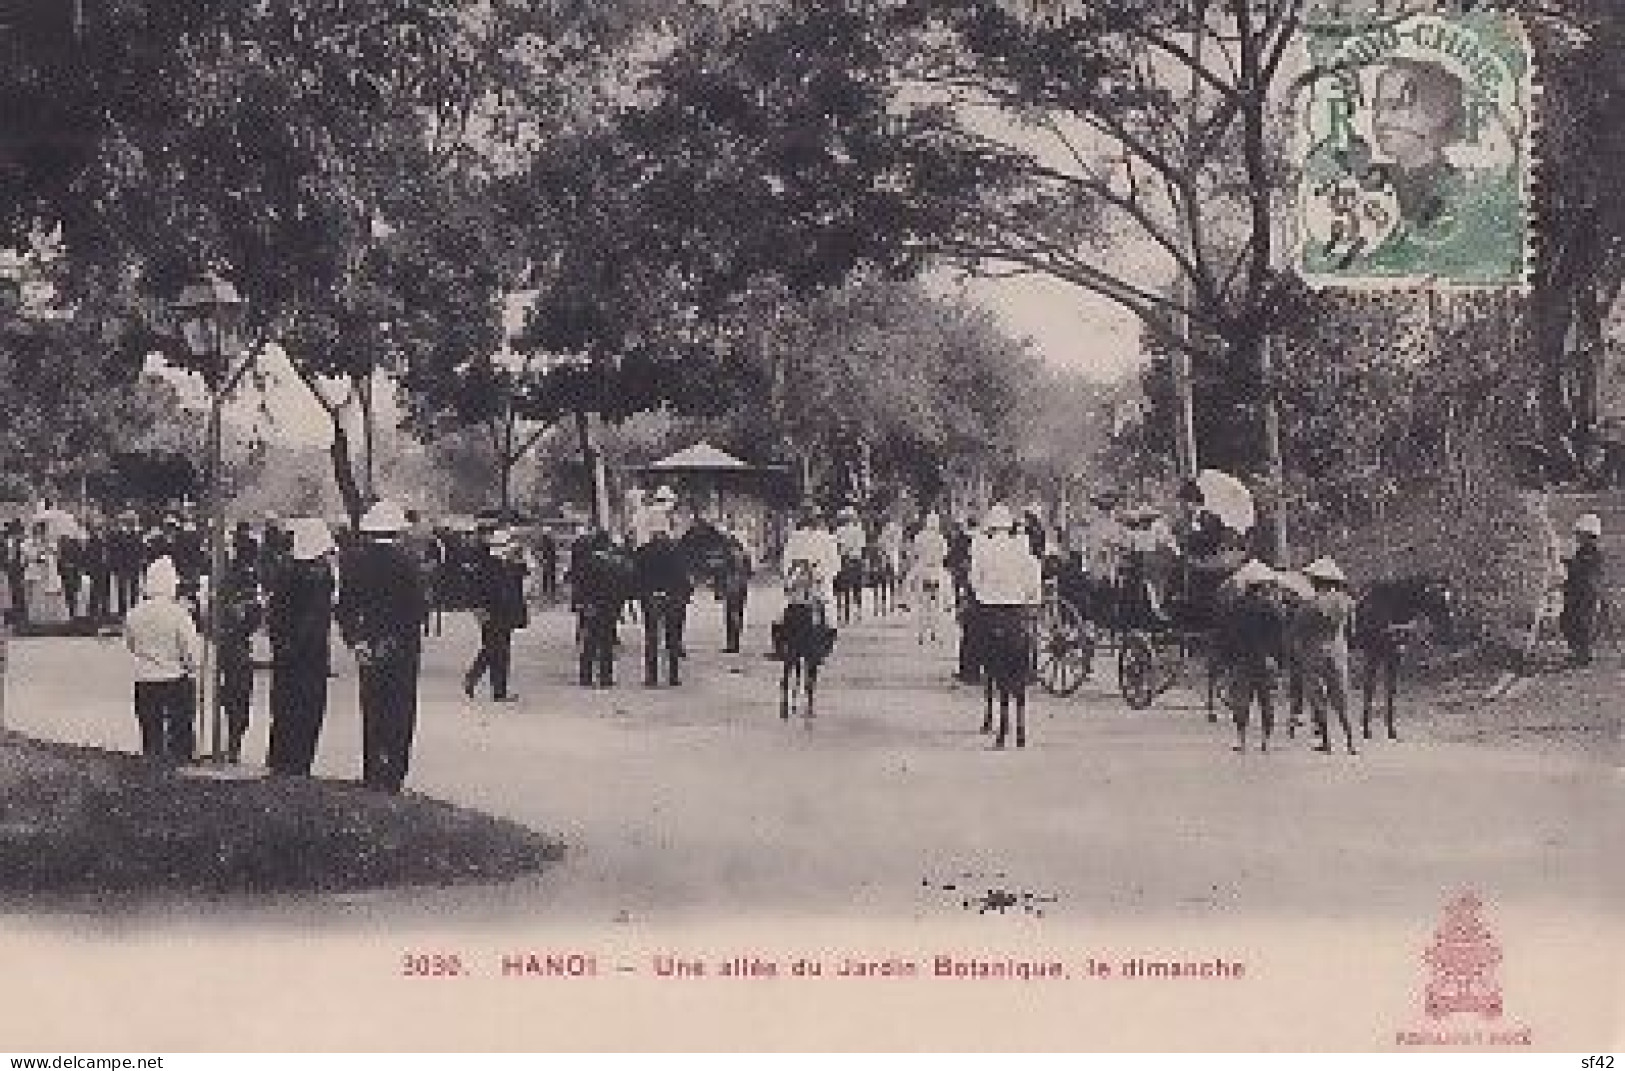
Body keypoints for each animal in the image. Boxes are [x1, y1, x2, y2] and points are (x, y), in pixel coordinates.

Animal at [975, 607, 1040, 750]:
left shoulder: (992, 671)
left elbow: (990, 694)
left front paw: (988, 725)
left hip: (1005, 675)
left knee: (1006, 700)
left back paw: (1001, 738)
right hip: (1018, 674)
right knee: (1020, 700)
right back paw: (1020, 738)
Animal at [1352, 575, 1456, 741]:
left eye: (1449, 597)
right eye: (1436, 598)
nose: (1448, 629)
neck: (1387, 609)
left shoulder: (1393, 656)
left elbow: (1390, 690)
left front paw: (1390, 730)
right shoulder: (1373, 655)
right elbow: (1369, 689)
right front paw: (1367, 730)